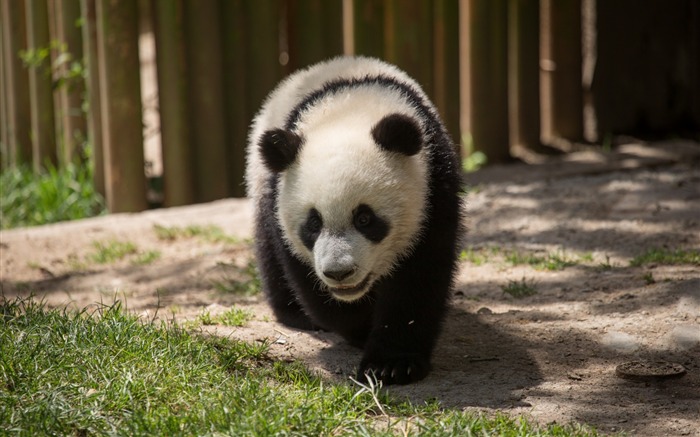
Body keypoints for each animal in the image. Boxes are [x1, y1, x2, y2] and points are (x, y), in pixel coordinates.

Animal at [247, 55, 464, 384]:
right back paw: (295, 314)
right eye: (313, 223)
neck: (349, 111)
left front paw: (391, 364)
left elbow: (418, 278)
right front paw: (360, 327)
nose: (339, 273)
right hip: (262, 179)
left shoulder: (434, 189)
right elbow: (307, 281)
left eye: (364, 218)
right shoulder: (279, 202)